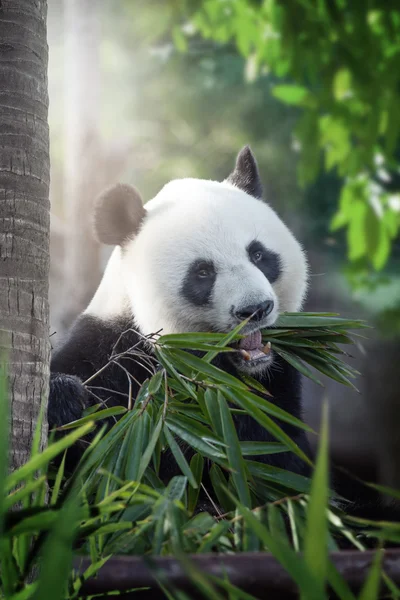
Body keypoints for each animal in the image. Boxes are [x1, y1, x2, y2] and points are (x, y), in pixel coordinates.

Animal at [49, 148, 312, 486]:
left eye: (258, 254)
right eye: (202, 272)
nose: (255, 308)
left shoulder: (276, 384)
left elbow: (275, 458)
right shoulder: (109, 352)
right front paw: (63, 400)